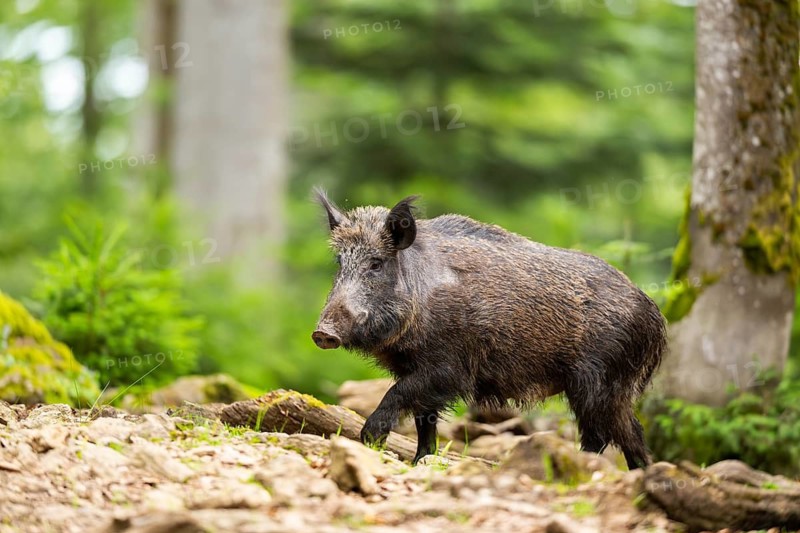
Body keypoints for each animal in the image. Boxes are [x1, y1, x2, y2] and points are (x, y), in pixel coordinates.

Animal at [311, 190, 667, 469]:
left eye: (376, 263)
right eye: (340, 263)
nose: (322, 333)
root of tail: (654, 314)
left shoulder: (448, 368)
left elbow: (396, 396)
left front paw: (369, 439)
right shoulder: (419, 372)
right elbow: (425, 424)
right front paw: (421, 460)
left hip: (600, 383)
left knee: (611, 433)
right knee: (626, 433)